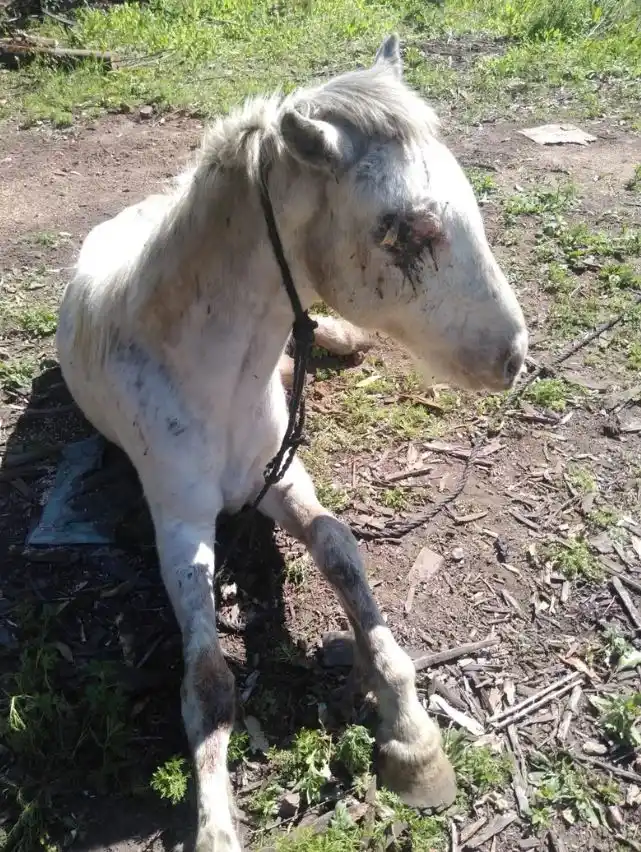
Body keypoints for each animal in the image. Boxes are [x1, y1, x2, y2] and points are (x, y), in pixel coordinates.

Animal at [56, 34, 527, 851]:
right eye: (405, 230)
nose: (514, 357)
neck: (210, 375)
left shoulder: (281, 477)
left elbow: (341, 553)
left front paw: (411, 740)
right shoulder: (179, 523)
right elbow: (209, 681)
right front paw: (215, 826)